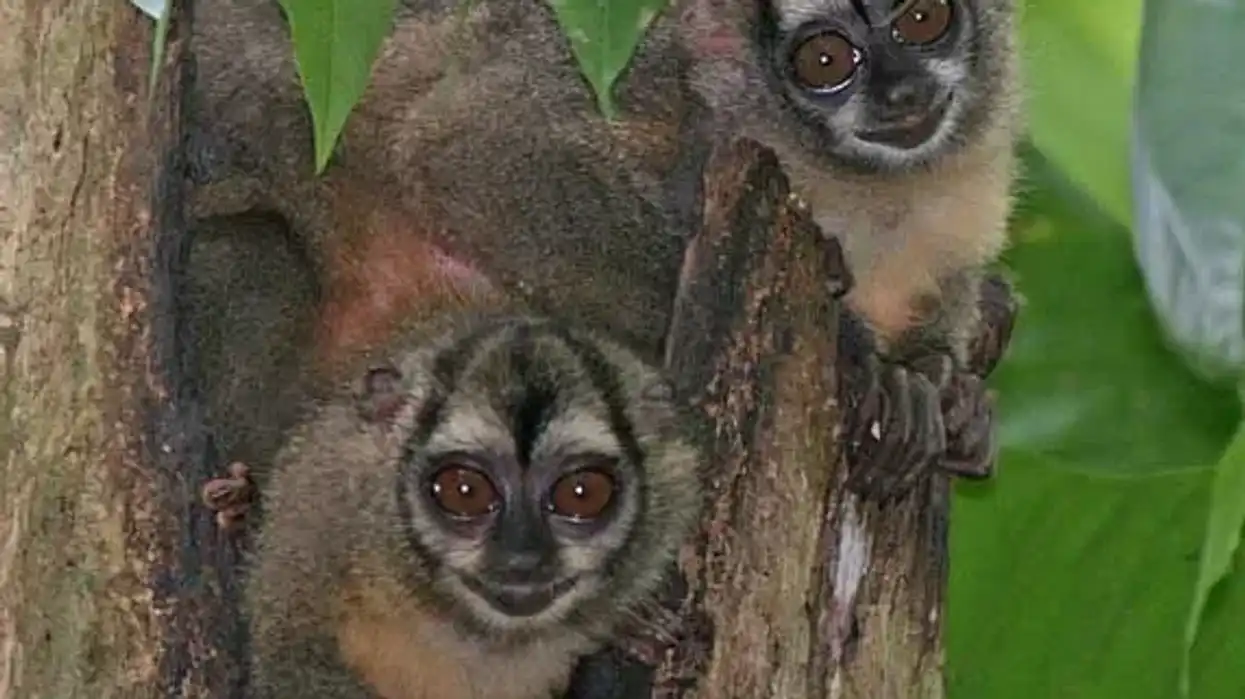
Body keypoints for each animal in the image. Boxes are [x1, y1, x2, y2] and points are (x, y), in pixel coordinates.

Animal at [238, 312, 702, 699]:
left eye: (582, 494)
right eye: (465, 492)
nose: (522, 558)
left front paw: (637, 628)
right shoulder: (316, 513)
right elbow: (292, 662)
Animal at [677, 0, 1023, 494]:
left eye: (923, 19)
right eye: (825, 60)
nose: (902, 92)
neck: (878, 182)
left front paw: (947, 383)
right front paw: (888, 378)